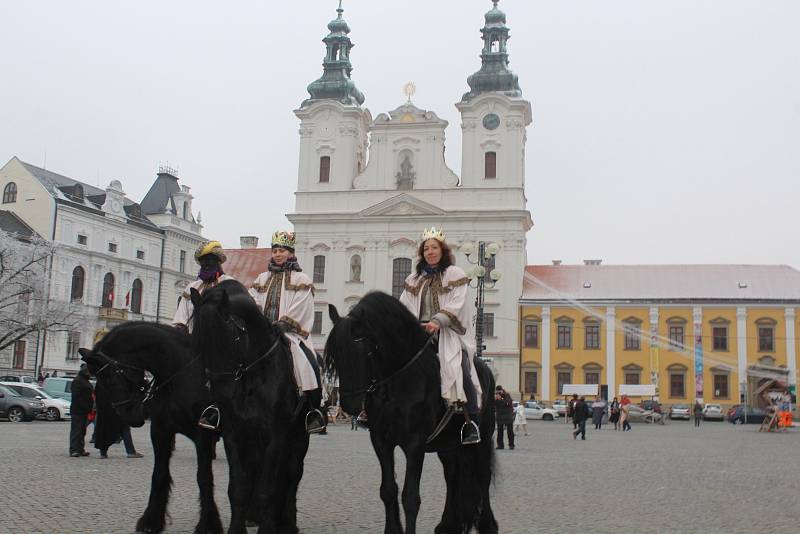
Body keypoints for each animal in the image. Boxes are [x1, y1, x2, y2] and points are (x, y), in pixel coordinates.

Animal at [78, 322, 222, 534]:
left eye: (111, 379)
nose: (129, 415)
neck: (180, 374)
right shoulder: (161, 431)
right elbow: (159, 474)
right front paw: (151, 520)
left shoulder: (203, 433)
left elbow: (203, 477)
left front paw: (208, 524)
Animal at [191, 280, 310, 534]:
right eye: (197, 340)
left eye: (228, 337)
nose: (220, 392)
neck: (254, 375)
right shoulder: (234, 435)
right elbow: (238, 487)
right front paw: (237, 527)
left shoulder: (276, 436)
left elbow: (269, 488)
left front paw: (269, 526)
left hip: (299, 436)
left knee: (292, 474)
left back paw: (287, 522)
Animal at [324, 294, 494, 534]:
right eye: (336, 356)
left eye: (364, 352)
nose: (349, 405)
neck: (397, 379)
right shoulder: (381, 441)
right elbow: (387, 490)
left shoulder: (415, 444)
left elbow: (410, 497)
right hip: (448, 445)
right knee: (452, 476)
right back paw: (447, 525)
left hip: (484, 439)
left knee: (483, 477)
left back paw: (488, 525)